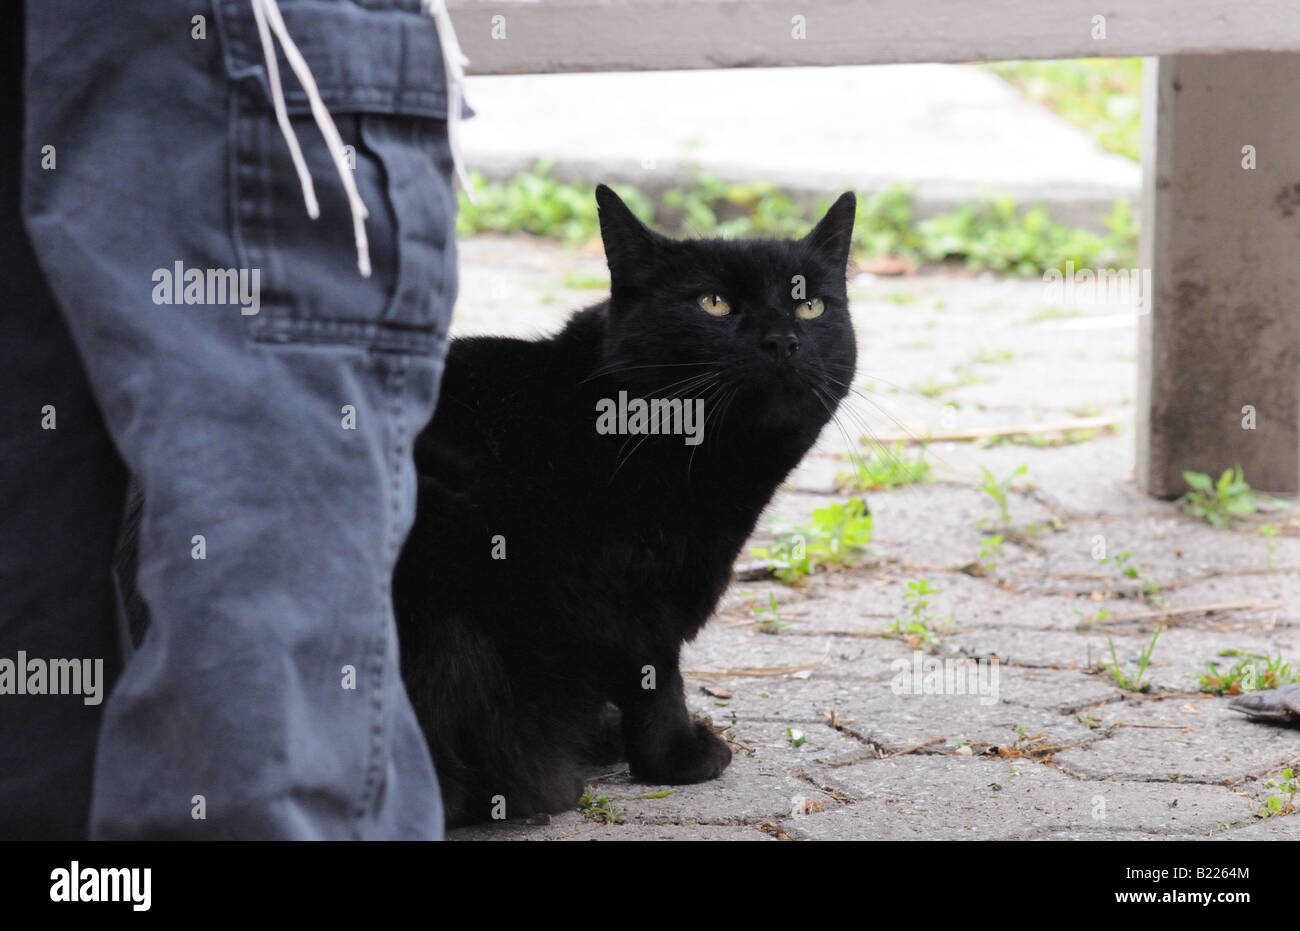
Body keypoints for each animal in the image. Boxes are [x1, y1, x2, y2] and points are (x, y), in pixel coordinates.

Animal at [390, 185, 857, 826]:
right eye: (713, 303)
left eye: (809, 306)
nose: (782, 341)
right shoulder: (631, 592)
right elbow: (656, 678)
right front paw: (680, 757)